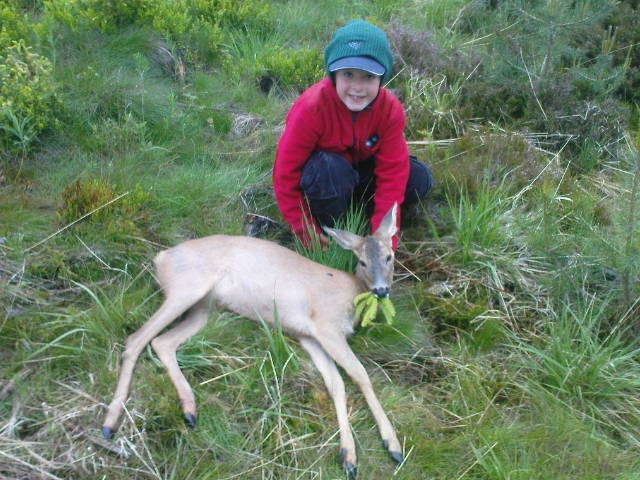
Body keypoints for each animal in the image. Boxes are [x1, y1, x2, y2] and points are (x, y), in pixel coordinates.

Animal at [100, 202, 402, 476]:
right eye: (362, 261)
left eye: (389, 256)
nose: (381, 290)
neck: (351, 294)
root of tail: (161, 257)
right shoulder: (326, 326)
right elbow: (360, 374)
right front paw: (393, 445)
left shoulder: (309, 337)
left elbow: (335, 385)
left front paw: (348, 456)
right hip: (187, 287)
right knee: (136, 339)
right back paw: (109, 423)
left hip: (203, 309)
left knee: (162, 342)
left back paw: (189, 409)